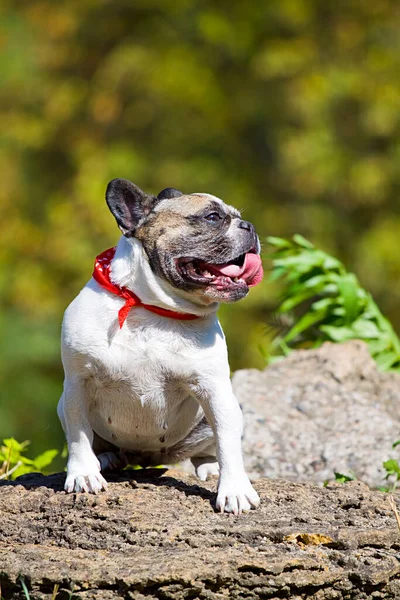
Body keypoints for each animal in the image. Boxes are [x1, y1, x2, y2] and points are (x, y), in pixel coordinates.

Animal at [57, 179, 262, 516]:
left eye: (237, 217)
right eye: (213, 217)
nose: (250, 226)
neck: (152, 310)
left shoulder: (215, 389)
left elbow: (228, 443)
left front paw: (235, 490)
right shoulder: (77, 383)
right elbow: (78, 433)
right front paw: (83, 474)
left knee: (212, 444)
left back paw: (210, 468)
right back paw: (105, 459)